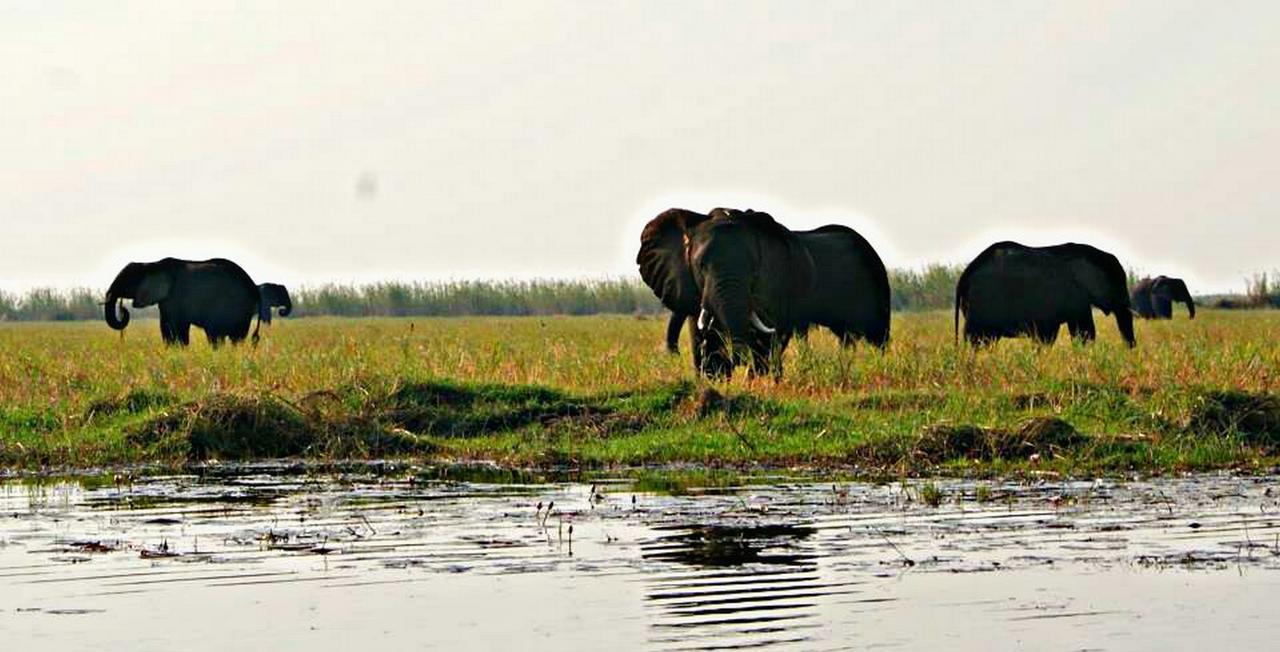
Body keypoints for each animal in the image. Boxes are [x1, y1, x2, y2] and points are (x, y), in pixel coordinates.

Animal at [637, 203, 890, 376]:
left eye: (754, 268)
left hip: (877, 283)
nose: (737, 362)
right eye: (700, 266)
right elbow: (701, 334)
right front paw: (716, 380)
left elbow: (769, 337)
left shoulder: (778, 285)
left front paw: (757, 379)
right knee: (847, 337)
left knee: (877, 337)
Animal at [952, 242, 1141, 345]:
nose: (1131, 349)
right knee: (978, 338)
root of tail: (965, 274)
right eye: (1119, 285)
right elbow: (1084, 331)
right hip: (983, 302)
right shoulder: (1076, 293)